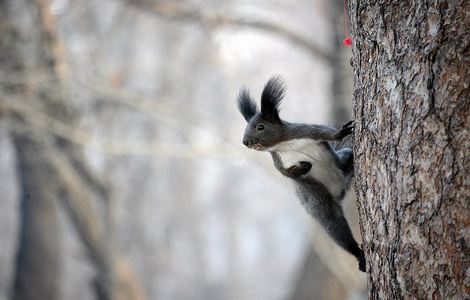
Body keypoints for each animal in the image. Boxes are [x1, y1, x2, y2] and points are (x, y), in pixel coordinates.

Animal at [237, 75, 366, 272]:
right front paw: (303, 168)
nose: (245, 142)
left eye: (260, 127)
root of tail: (340, 189)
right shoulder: (278, 161)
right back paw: (359, 255)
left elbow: (328, 134)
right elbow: (287, 174)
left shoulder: (307, 131)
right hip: (317, 196)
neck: (284, 144)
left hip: (343, 161)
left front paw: (341, 132)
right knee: (332, 223)